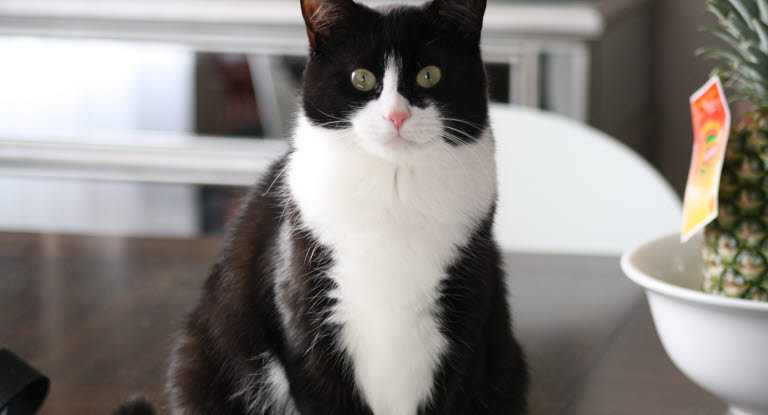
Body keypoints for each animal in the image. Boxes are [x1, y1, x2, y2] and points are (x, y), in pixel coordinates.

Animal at [160, 0, 528, 415]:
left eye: (430, 75)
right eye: (361, 78)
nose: (396, 116)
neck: (393, 189)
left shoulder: (465, 312)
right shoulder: (305, 312)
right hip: (201, 356)